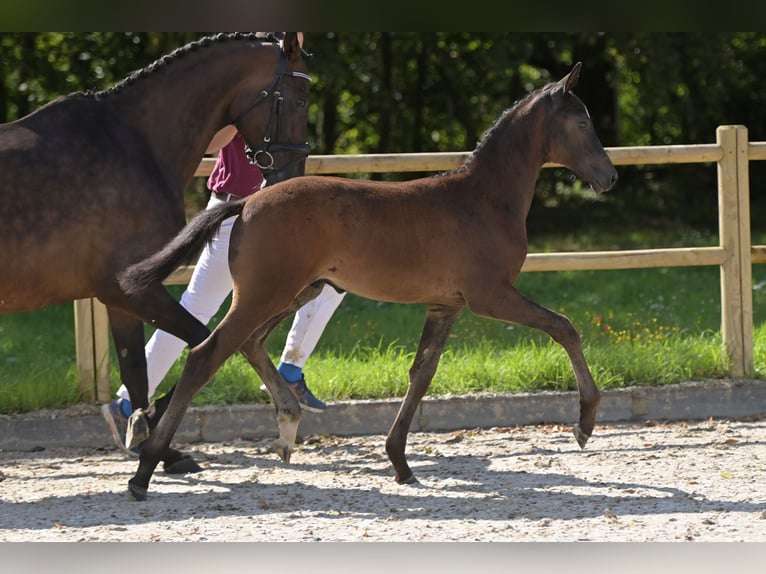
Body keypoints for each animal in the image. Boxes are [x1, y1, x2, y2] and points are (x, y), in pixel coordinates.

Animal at [0, 30, 312, 472]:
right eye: (300, 99)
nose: (292, 178)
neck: (135, 143)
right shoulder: (130, 289)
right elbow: (202, 342)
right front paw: (148, 428)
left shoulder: (120, 300)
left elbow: (136, 368)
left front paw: (156, 441)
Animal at [123, 62, 620, 500]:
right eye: (581, 121)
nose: (610, 176)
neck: (484, 198)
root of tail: (244, 204)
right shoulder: (491, 295)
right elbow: (563, 326)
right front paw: (585, 422)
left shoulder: (446, 304)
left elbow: (421, 373)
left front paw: (399, 461)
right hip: (267, 293)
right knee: (206, 355)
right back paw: (145, 469)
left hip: (297, 291)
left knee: (250, 343)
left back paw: (286, 426)